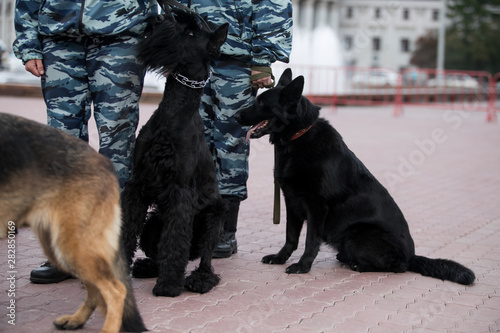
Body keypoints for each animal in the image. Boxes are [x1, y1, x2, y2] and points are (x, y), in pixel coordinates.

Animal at [121, 9, 230, 296]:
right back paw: (147, 266)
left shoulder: (181, 191)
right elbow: (126, 230)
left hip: (213, 220)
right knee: (157, 248)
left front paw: (169, 284)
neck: (174, 112)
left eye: (191, 32)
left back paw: (199, 279)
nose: (156, 20)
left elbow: (175, 239)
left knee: (205, 258)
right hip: (152, 225)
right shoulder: (137, 184)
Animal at [236, 68, 474, 286]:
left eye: (261, 103)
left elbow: (310, 240)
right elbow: (291, 236)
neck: (298, 136)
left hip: (356, 235)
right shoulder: (291, 201)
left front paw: (303, 265)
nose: (235, 116)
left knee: (398, 266)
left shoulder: (316, 206)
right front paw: (280, 257)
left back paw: (358, 264)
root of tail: (411, 255)